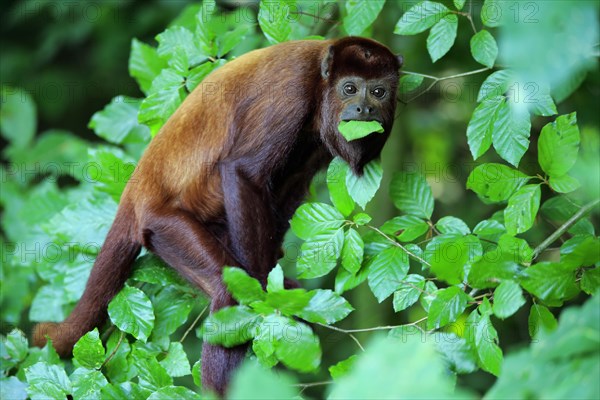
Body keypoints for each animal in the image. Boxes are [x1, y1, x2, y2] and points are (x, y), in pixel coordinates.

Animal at [32, 36, 404, 394]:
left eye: (379, 91)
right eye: (350, 88)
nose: (365, 108)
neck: (320, 82)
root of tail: (136, 191)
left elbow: (294, 182)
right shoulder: (292, 92)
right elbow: (244, 172)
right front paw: (262, 292)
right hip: (164, 226)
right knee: (226, 293)